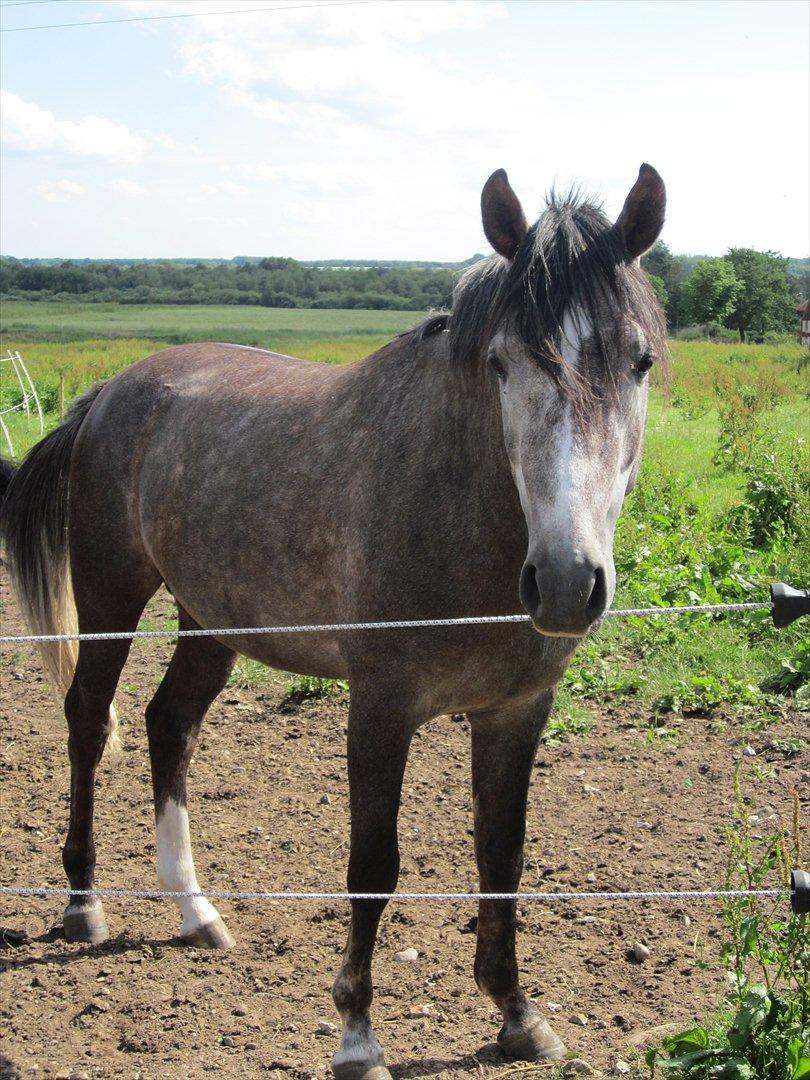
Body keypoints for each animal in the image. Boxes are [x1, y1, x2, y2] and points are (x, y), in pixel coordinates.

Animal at [0, 164, 669, 1075]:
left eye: (639, 360)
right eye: (500, 363)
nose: (567, 582)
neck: (458, 508)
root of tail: (108, 395)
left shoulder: (517, 713)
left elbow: (503, 855)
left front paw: (518, 1016)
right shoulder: (380, 706)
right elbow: (373, 865)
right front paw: (357, 1033)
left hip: (210, 620)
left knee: (169, 724)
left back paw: (197, 912)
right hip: (111, 596)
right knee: (88, 721)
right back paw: (83, 904)